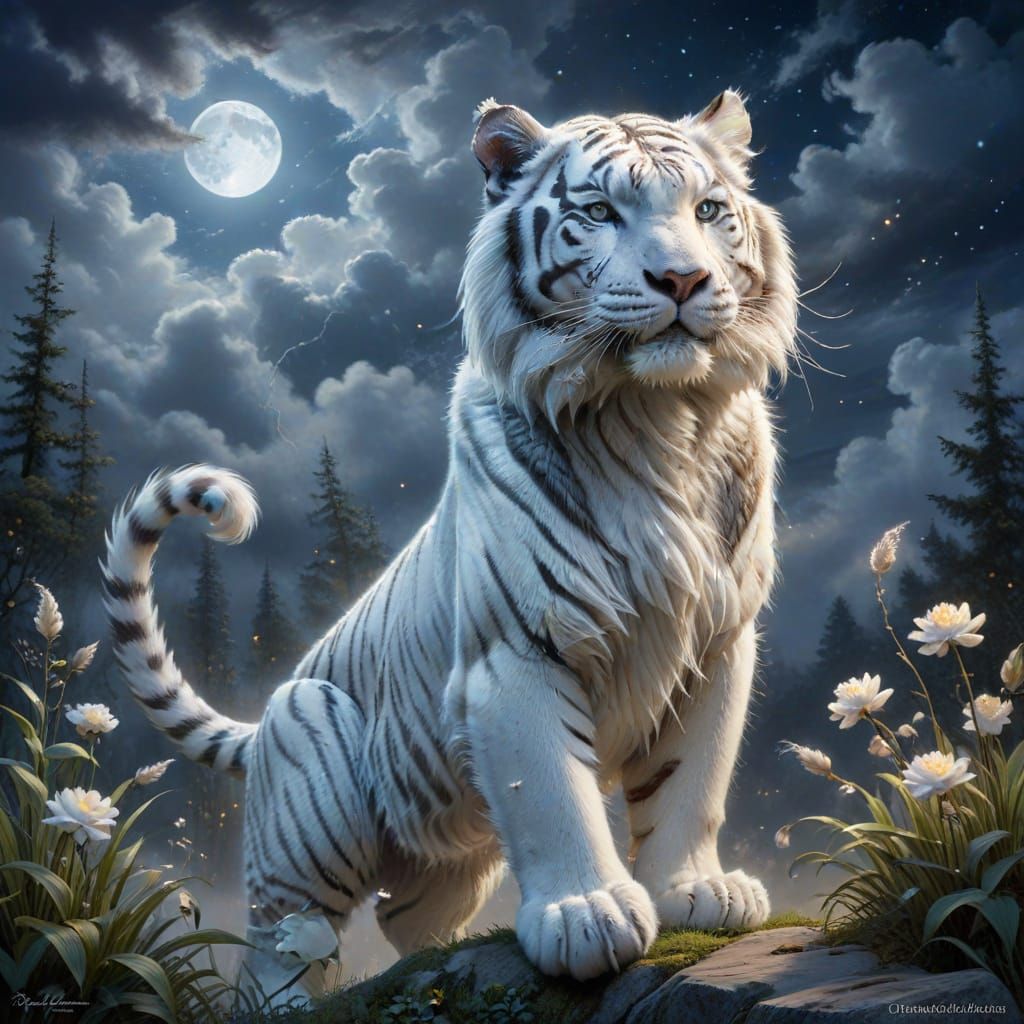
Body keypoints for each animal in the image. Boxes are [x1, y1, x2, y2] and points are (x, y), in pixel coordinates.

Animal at [102, 89, 797, 994]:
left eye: (709, 210)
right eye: (599, 213)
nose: (683, 279)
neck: (658, 416)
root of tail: (266, 713)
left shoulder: (716, 642)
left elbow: (692, 783)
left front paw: (695, 892)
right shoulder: (516, 649)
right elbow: (550, 789)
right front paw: (586, 915)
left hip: (442, 858)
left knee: (408, 919)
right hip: (310, 752)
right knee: (280, 940)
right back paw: (290, 999)